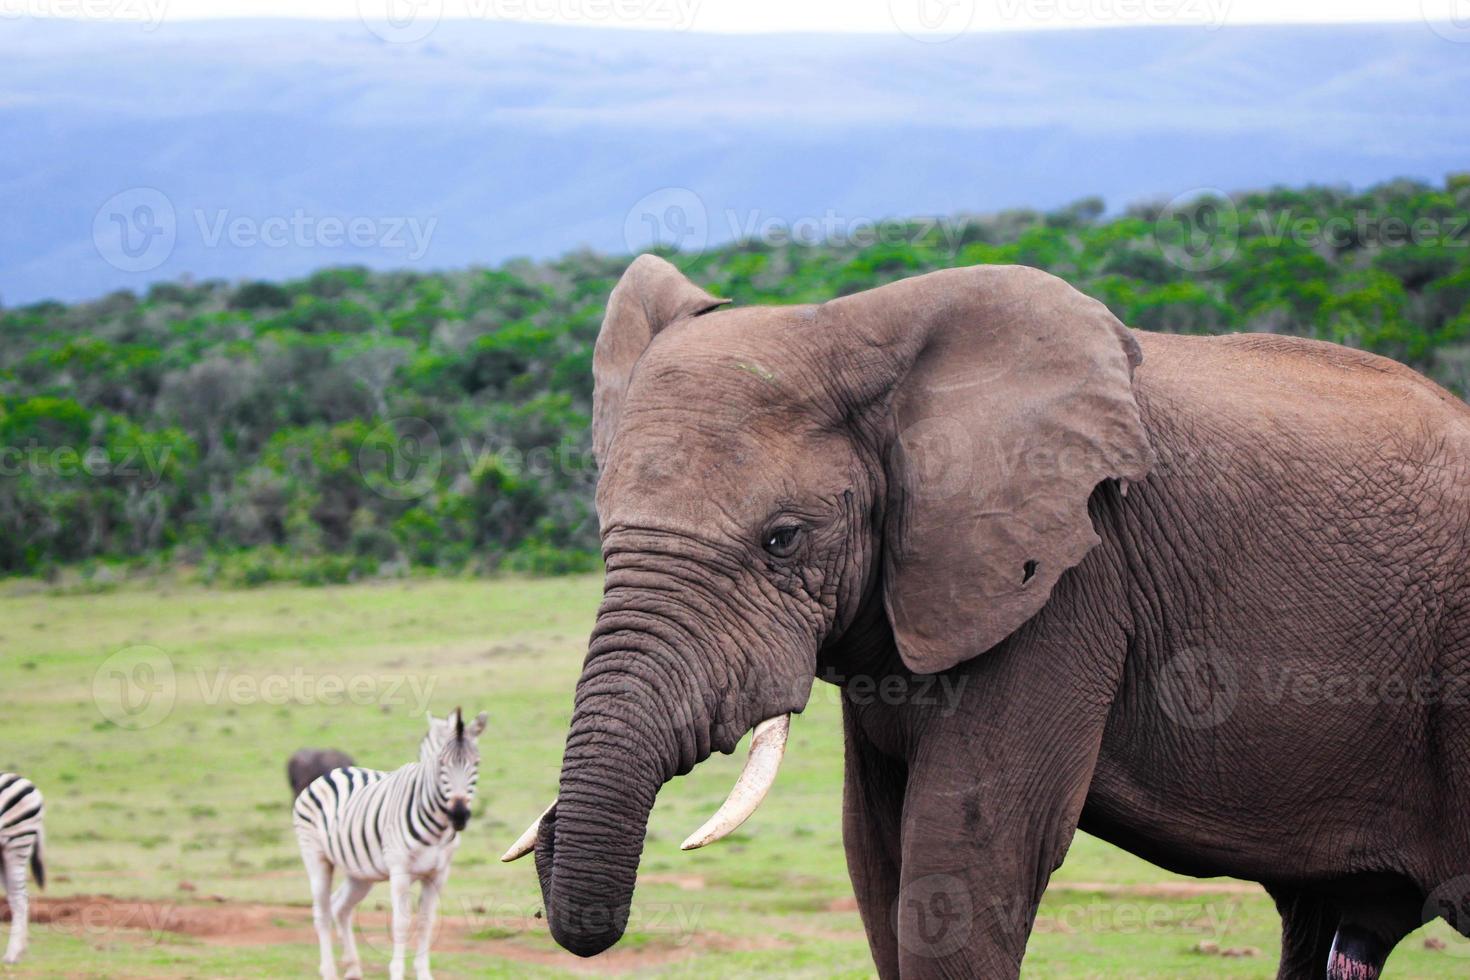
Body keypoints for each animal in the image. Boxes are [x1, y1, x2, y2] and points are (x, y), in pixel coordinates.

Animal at [292, 714, 488, 980]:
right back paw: (330, 971)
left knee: (340, 908)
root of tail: (334, 772)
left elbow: (426, 921)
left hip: (360, 874)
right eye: (441, 764)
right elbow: (401, 922)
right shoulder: (400, 870)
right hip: (315, 856)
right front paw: (396, 971)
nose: (459, 815)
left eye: (475, 763)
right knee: (321, 912)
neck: (436, 824)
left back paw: (353, 967)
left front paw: (423, 973)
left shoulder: (438, 874)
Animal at [505, 257, 1470, 975]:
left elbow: (963, 859)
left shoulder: (1070, 579)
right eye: (604, 531)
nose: (545, 833)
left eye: (782, 539)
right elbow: (877, 858)